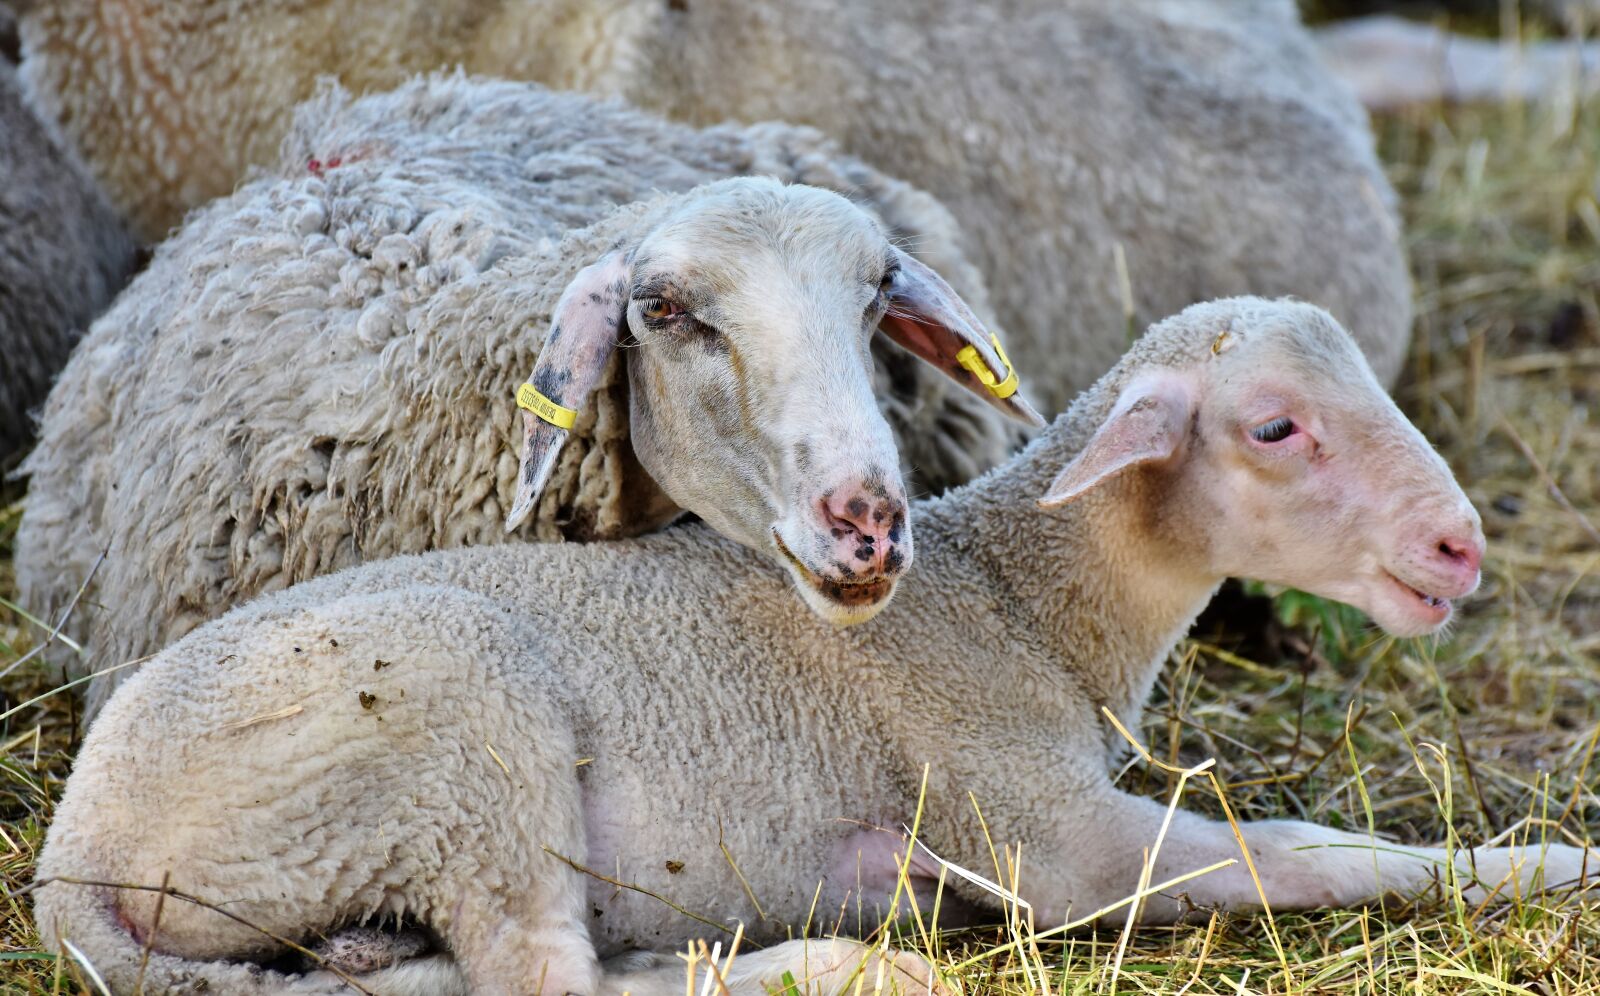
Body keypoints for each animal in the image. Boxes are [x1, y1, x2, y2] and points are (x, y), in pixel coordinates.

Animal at [33, 297, 1592, 996]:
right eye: (1274, 427)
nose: (1457, 552)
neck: (1017, 600)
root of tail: (73, 847)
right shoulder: (1042, 834)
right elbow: (1299, 851)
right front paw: (1538, 865)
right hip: (455, 738)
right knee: (541, 973)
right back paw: (845, 966)